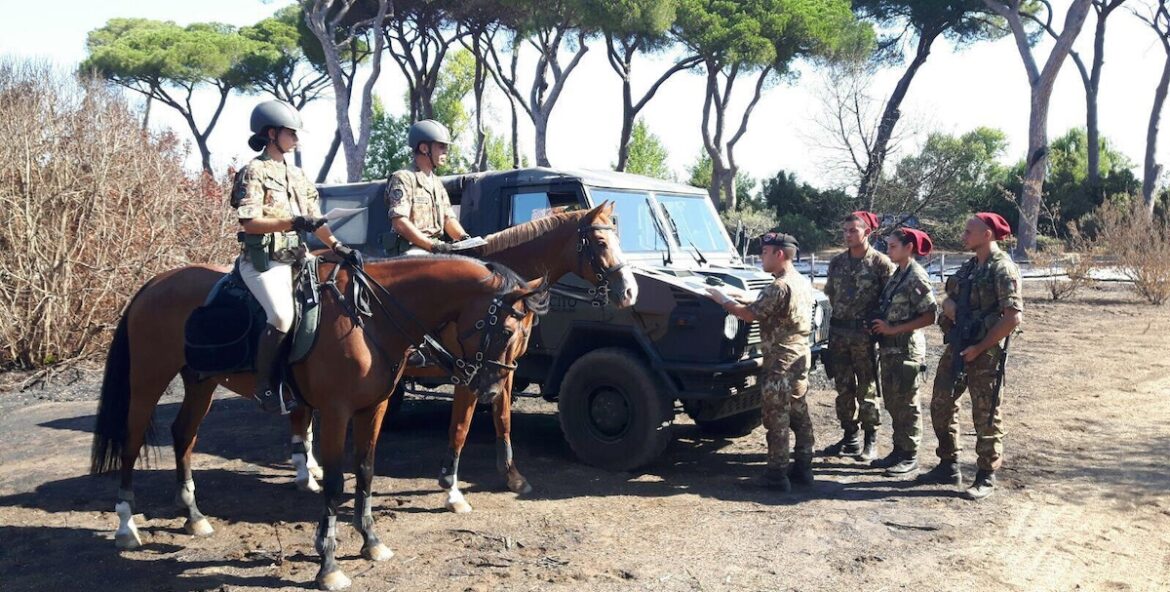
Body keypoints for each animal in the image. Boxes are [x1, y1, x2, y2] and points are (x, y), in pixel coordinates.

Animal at [91, 256, 547, 589]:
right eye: (507, 330)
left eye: (525, 334)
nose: (490, 391)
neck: (369, 317)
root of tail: (156, 282)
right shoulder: (336, 412)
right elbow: (334, 484)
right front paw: (328, 564)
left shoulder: (373, 409)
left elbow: (366, 472)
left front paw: (371, 542)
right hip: (147, 379)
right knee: (131, 442)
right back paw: (126, 525)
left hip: (199, 381)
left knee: (183, 436)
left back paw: (193, 515)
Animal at [284, 203, 636, 512]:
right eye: (601, 242)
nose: (630, 291)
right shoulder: (470, 373)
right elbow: (460, 428)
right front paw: (451, 488)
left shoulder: (503, 369)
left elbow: (503, 419)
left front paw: (512, 476)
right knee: (300, 413)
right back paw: (304, 470)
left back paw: (311, 466)